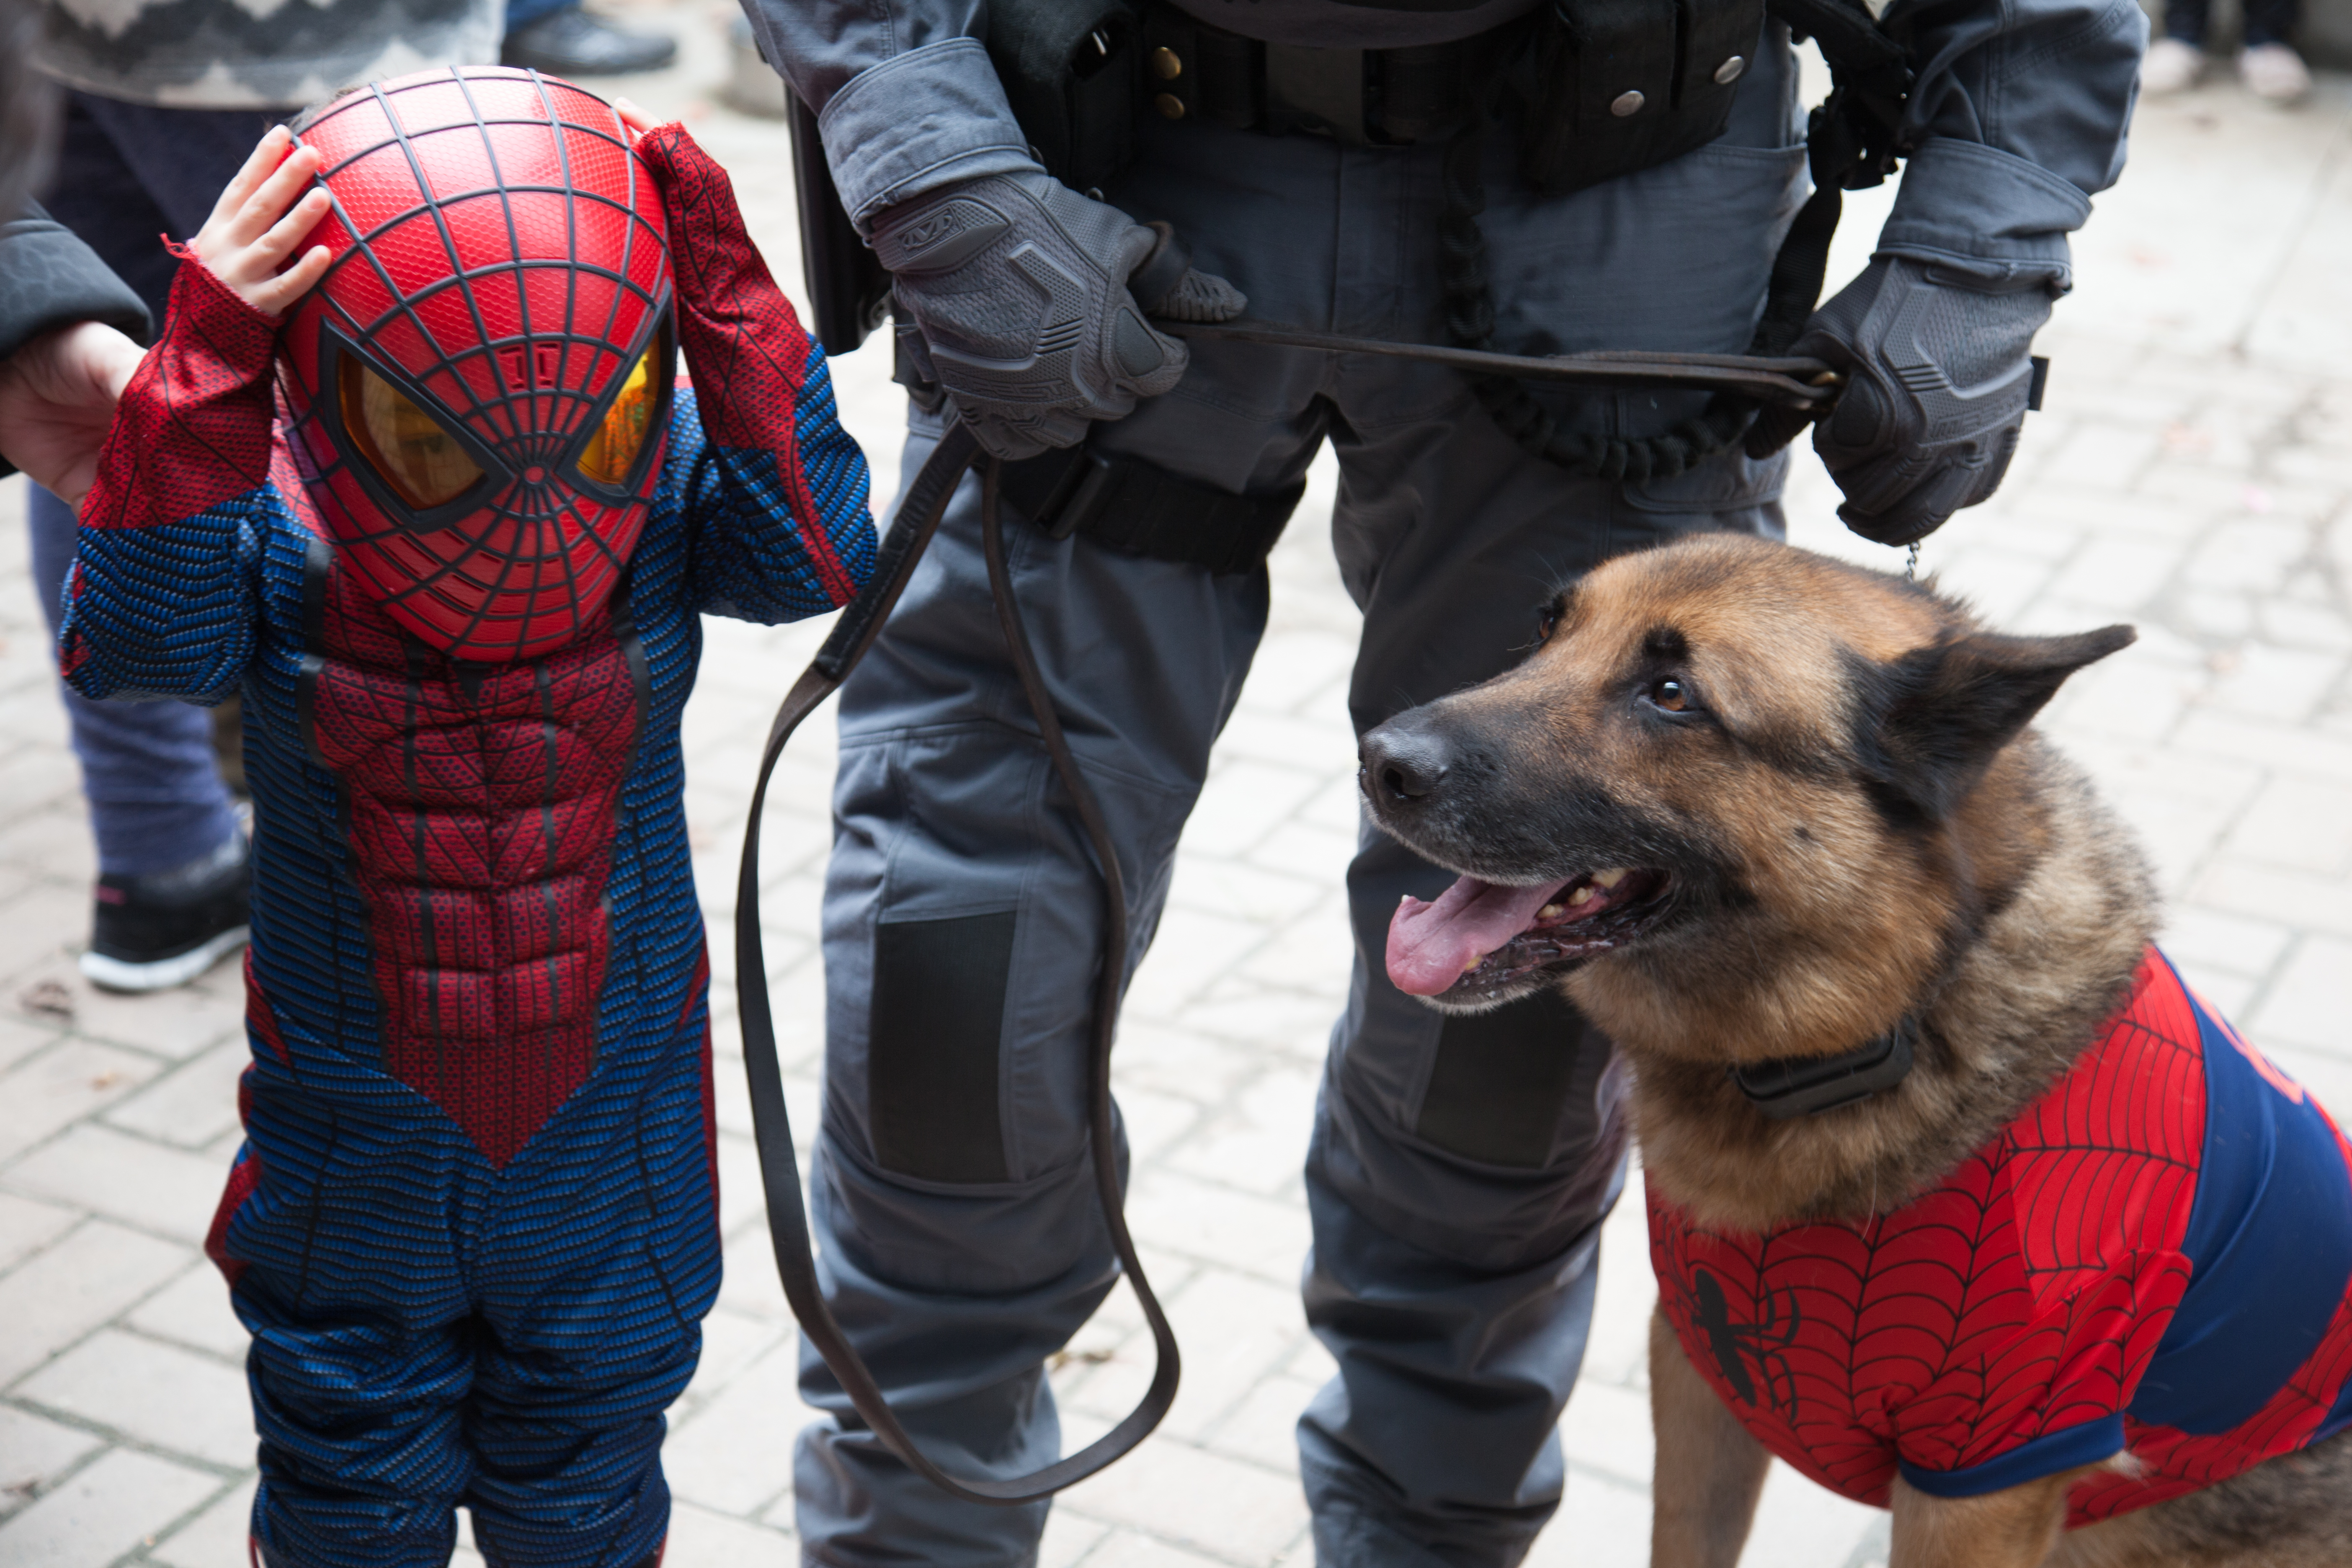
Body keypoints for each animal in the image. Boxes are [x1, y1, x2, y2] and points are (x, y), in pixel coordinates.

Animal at [1354, 541, 2352, 1568]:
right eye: (1549, 628)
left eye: (1671, 694)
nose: (1379, 760)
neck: (1890, 1019)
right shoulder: (1702, 1377)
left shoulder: (1982, 1482)